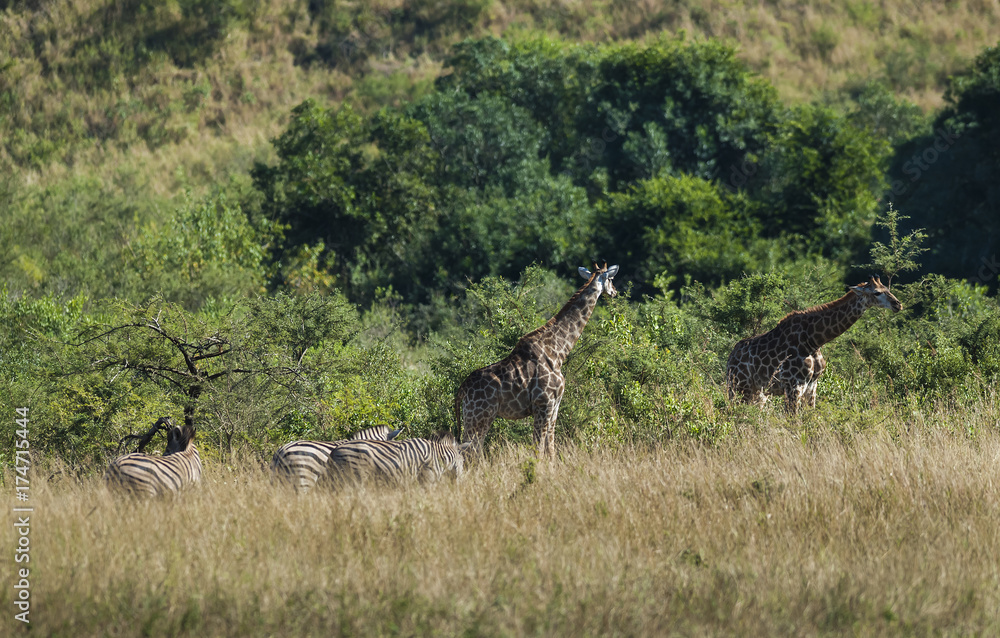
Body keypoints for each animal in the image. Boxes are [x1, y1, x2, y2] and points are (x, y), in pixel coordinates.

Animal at [455, 263, 620, 459]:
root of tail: (462, 390)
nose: (615, 292)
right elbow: (539, 448)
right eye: (611, 278)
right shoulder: (543, 403)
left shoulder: (555, 404)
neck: (558, 352)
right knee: (469, 451)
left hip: (473, 417)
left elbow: (550, 447)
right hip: (480, 416)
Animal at [726, 276, 902, 413]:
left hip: (757, 393)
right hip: (739, 387)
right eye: (877, 292)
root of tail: (730, 358)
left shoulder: (812, 386)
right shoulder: (793, 385)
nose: (898, 304)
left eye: (887, 288)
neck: (813, 340)